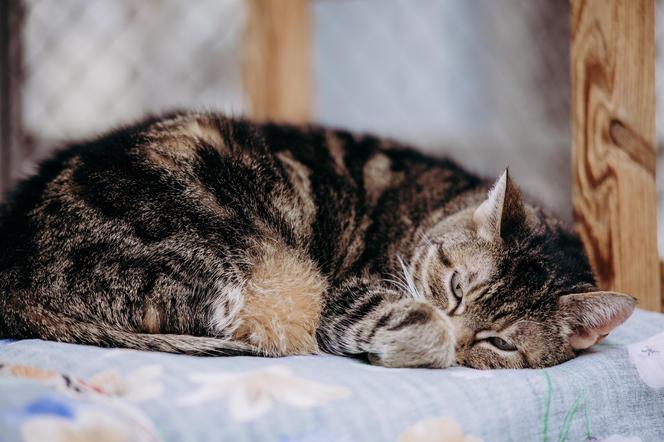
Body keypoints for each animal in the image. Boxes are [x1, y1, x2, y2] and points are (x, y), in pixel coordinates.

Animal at [0, 111, 636, 370]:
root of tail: (18, 279)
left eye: (502, 343)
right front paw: (420, 340)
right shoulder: (345, 292)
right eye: (456, 287)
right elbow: (415, 323)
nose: (462, 340)